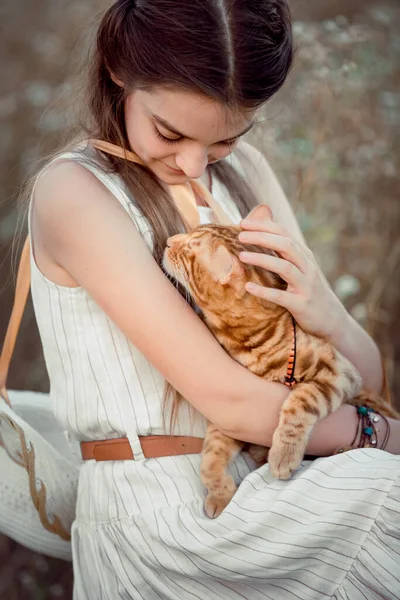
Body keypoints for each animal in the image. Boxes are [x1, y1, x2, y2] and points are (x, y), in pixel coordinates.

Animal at [162, 209, 396, 516]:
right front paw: (219, 493)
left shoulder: (340, 372)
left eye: (189, 247)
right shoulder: (233, 418)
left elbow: (300, 401)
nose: (168, 241)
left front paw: (283, 454)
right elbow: (210, 455)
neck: (245, 342)